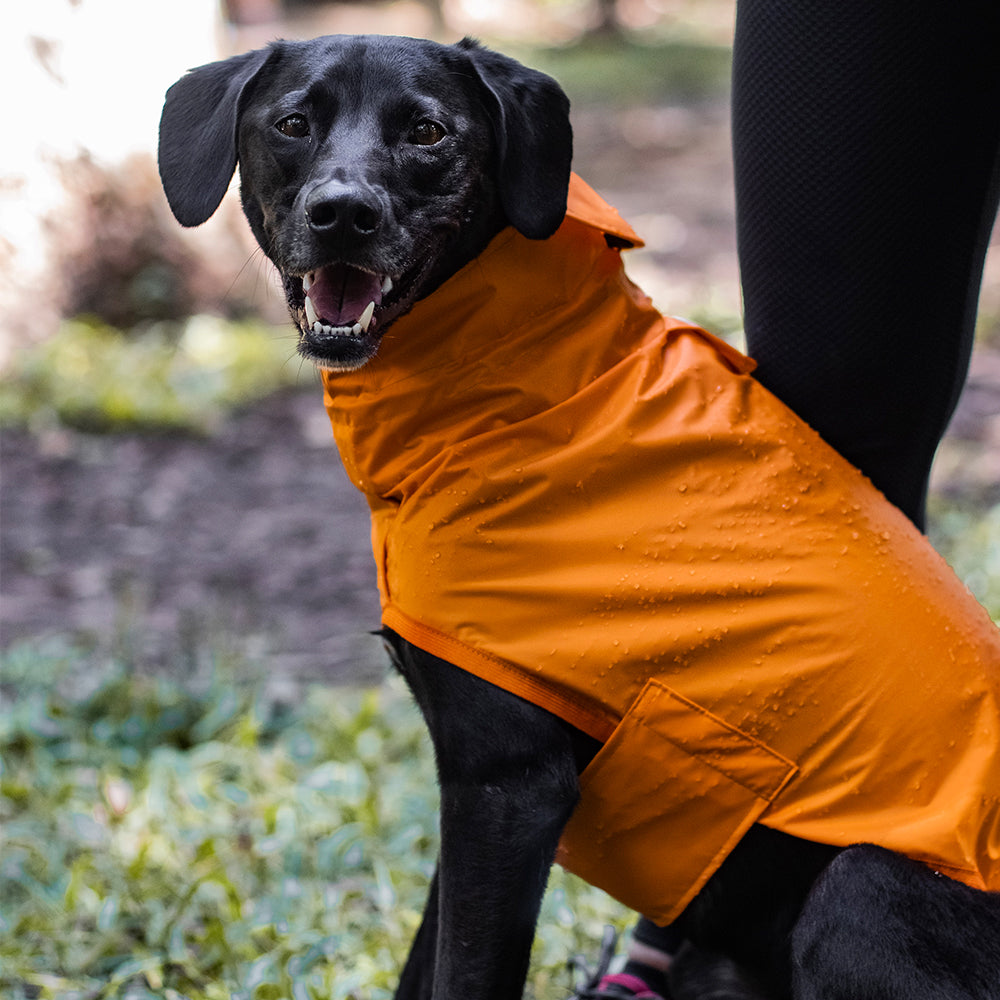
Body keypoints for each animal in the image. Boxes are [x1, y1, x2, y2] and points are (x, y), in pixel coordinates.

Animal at [158, 35, 1000, 1000]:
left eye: (429, 132)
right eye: (294, 122)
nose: (344, 215)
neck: (528, 384)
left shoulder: (510, 783)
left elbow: (461, 974)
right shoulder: (471, 778)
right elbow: (423, 963)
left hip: (860, 884)